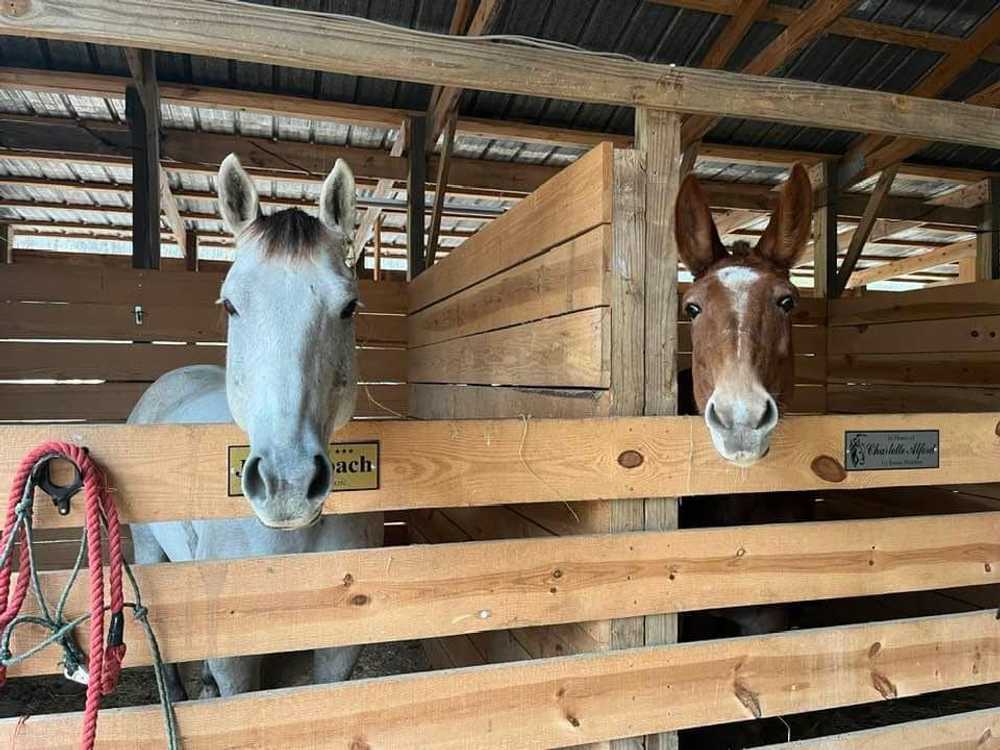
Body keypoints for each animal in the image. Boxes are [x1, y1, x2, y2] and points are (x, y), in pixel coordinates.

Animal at [128, 153, 382, 699]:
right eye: (230, 304)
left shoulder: (338, 651)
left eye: (349, 306)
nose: (287, 484)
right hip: (148, 550)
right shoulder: (237, 660)